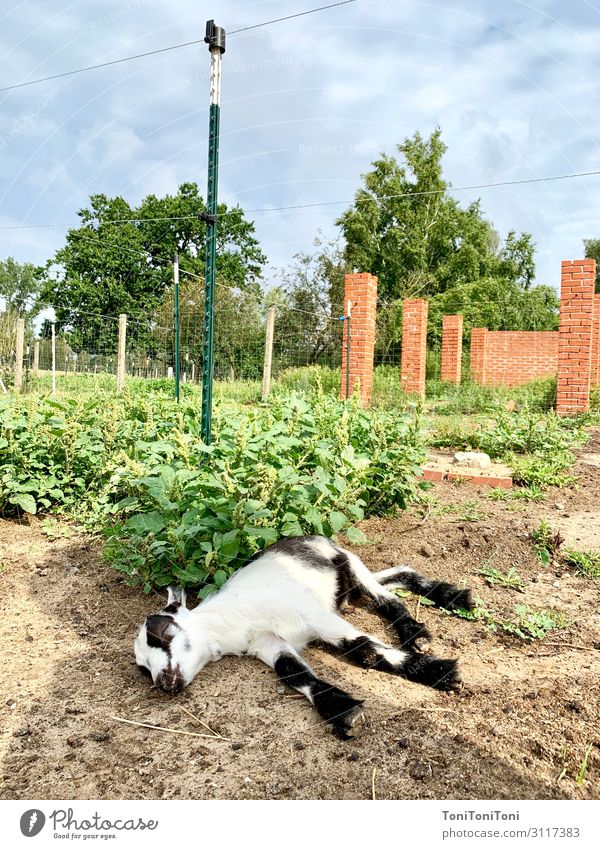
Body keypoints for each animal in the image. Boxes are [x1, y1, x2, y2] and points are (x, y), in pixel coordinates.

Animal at [132, 536, 474, 736]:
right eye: (143, 668)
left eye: (163, 632)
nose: (164, 682)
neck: (236, 617)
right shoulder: (268, 643)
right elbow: (292, 672)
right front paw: (341, 710)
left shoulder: (315, 616)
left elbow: (364, 648)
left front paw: (441, 672)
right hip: (347, 588)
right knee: (395, 576)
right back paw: (445, 600)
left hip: (345, 560)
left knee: (385, 597)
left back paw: (425, 627)